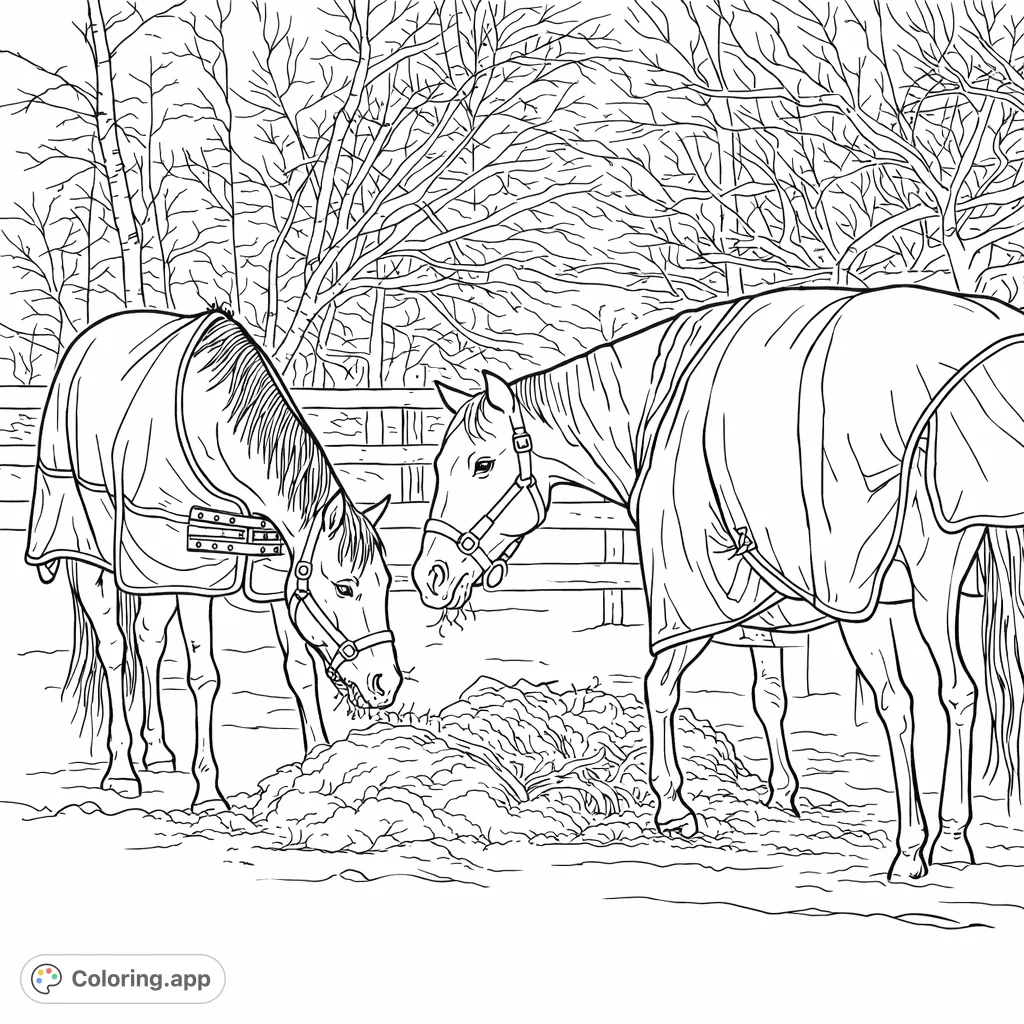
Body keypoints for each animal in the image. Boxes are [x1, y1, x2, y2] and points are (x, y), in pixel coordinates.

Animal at [26, 308, 403, 812]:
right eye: (344, 587)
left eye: (387, 585)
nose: (385, 682)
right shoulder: (194, 576)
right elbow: (204, 676)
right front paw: (208, 792)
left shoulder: (277, 579)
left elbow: (300, 670)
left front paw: (319, 761)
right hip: (94, 556)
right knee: (114, 648)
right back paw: (123, 768)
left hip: (150, 572)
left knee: (147, 640)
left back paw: (156, 750)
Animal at [412, 284, 1024, 881]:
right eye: (438, 466)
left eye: (483, 464)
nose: (429, 575)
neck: (655, 405)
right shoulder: (776, 610)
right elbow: (770, 698)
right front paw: (782, 795)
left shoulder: (700, 589)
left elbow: (660, 686)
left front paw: (673, 807)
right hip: (926, 581)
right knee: (960, 692)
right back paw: (955, 837)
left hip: (896, 588)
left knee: (910, 700)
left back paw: (914, 848)